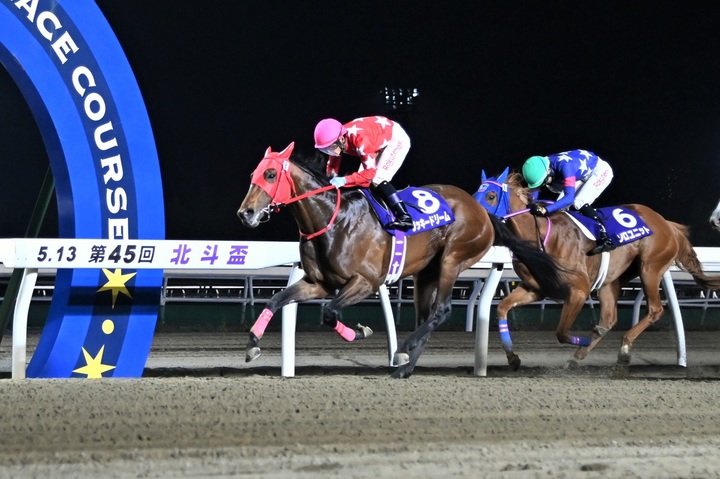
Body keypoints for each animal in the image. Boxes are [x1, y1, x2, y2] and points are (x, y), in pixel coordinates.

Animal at [237, 142, 568, 378]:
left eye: (270, 174)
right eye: (252, 175)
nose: (245, 213)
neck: (334, 219)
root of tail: (482, 211)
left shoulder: (366, 282)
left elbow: (330, 313)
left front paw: (359, 331)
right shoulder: (318, 283)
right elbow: (276, 300)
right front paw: (252, 345)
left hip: (453, 257)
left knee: (442, 310)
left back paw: (403, 351)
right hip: (426, 272)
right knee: (426, 315)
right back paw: (405, 367)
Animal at [474, 168, 720, 371]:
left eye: (491, 196)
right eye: (477, 193)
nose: (475, 217)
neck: (541, 237)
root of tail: (667, 224)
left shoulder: (579, 290)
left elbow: (561, 332)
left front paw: (583, 340)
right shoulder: (535, 288)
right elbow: (502, 308)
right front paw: (513, 359)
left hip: (650, 267)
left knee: (654, 310)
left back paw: (622, 350)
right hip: (610, 281)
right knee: (609, 318)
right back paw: (582, 356)